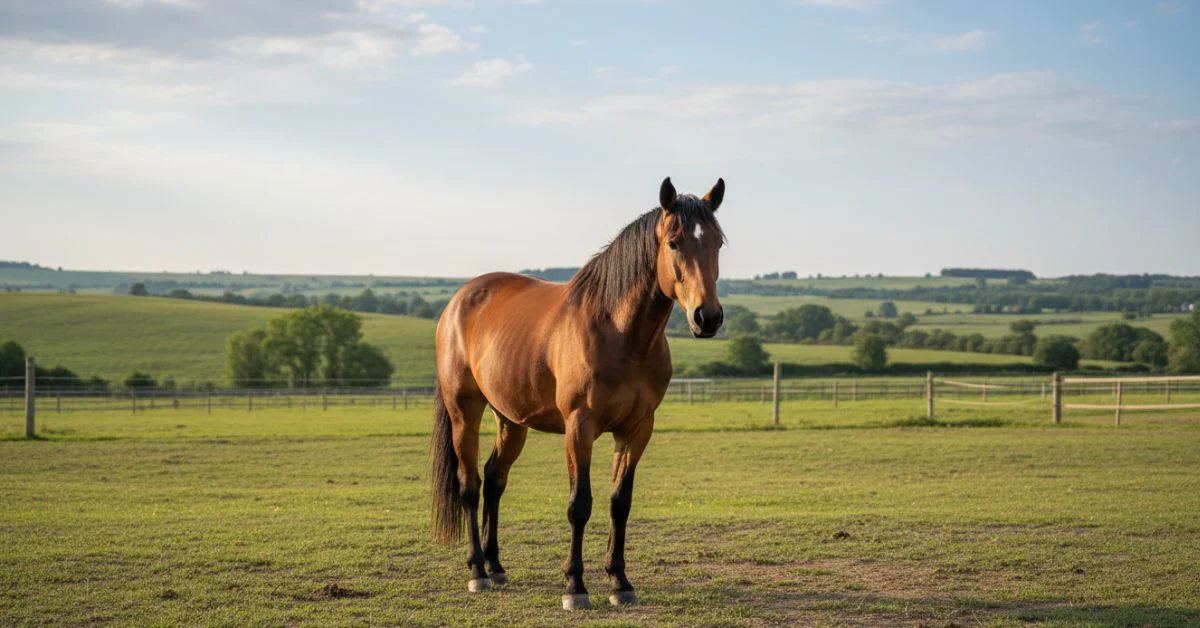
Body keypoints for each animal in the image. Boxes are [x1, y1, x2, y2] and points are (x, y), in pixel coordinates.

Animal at [430, 177, 726, 610]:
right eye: (674, 243)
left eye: (718, 242)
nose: (708, 317)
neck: (619, 332)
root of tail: (459, 300)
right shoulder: (578, 427)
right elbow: (579, 504)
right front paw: (575, 586)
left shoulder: (637, 429)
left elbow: (620, 502)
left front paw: (620, 582)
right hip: (464, 412)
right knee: (470, 485)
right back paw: (477, 572)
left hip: (511, 420)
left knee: (495, 478)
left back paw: (496, 566)